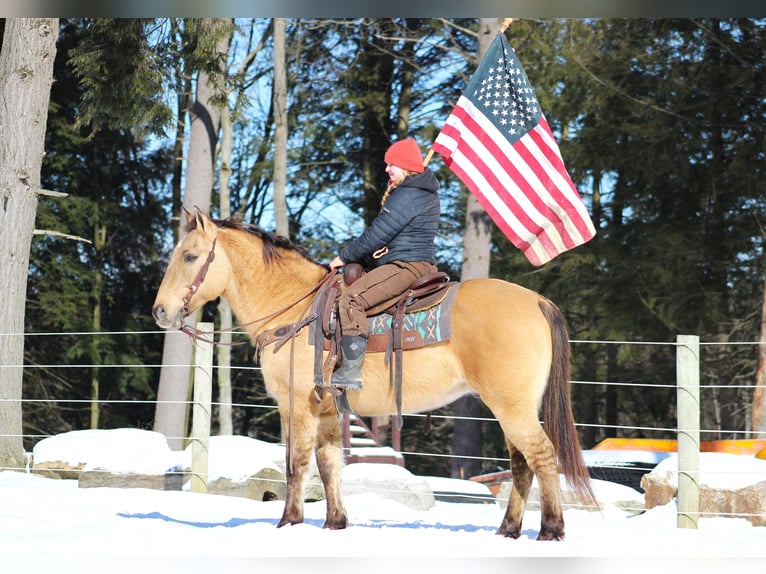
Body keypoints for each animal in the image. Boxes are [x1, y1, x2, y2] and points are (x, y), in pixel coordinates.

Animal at [153, 209, 596, 544]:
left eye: (190, 256)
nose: (160, 311)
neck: (295, 309)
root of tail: (536, 301)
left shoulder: (295, 406)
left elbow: (297, 462)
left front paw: (289, 522)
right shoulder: (328, 411)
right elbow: (329, 463)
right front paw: (335, 522)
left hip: (512, 407)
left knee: (542, 455)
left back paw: (551, 530)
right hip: (511, 409)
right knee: (521, 464)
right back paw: (507, 530)